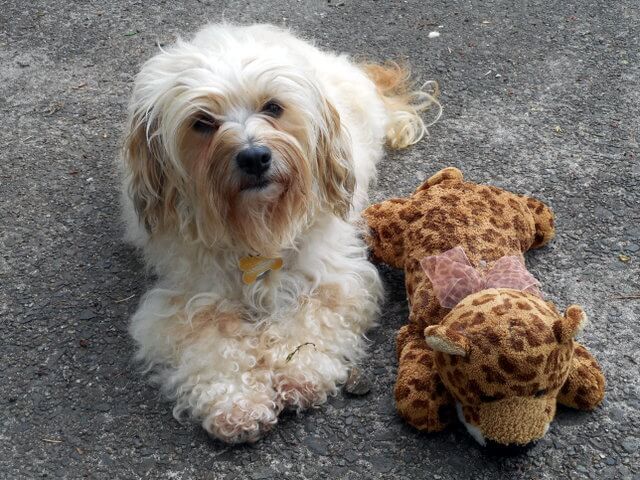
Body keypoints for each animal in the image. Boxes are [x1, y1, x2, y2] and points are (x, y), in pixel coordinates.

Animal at [120, 22, 440, 442]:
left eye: (272, 107)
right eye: (202, 122)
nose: (254, 157)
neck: (256, 226)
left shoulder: (336, 278)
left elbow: (313, 319)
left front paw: (299, 370)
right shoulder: (186, 301)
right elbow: (212, 347)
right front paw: (235, 401)